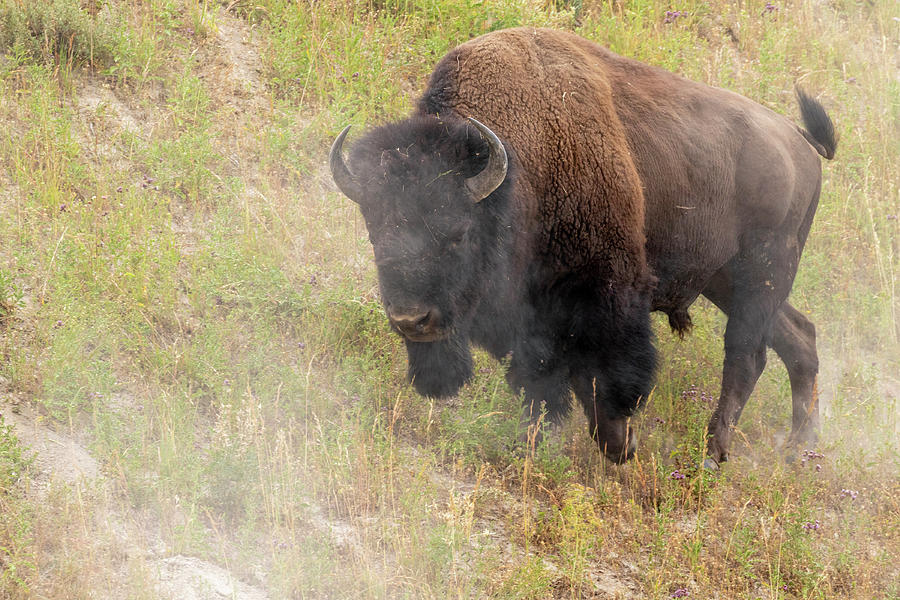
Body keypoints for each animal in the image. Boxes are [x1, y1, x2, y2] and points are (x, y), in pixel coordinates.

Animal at [328, 28, 836, 466]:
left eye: (457, 233)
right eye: (375, 232)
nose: (411, 321)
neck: (522, 164)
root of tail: (800, 143)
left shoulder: (606, 289)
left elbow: (603, 376)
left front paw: (622, 444)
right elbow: (539, 380)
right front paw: (532, 444)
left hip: (763, 270)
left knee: (746, 356)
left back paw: (714, 454)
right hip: (725, 279)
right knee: (800, 338)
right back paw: (798, 450)